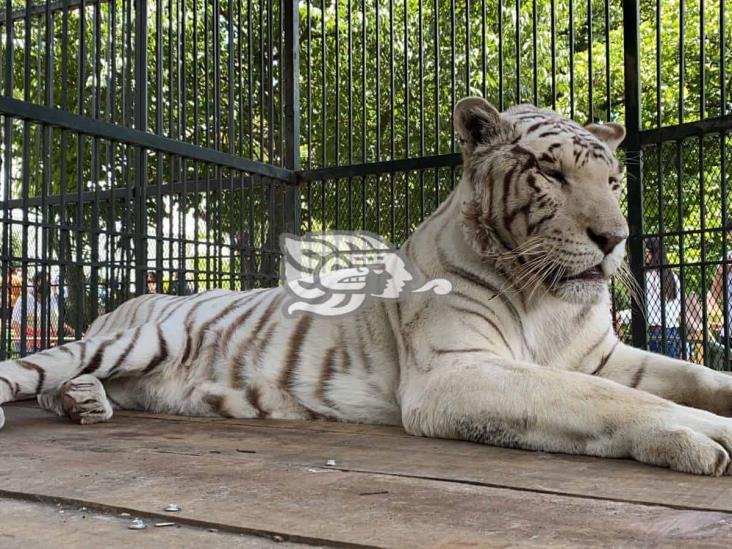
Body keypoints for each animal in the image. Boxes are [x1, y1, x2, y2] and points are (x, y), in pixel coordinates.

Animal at [1, 98, 732, 476]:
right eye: (551, 174)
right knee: (30, 373)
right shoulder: (457, 371)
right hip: (124, 341)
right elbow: (607, 399)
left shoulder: (605, 355)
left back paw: (87, 404)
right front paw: (705, 435)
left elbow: (687, 377)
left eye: (612, 180)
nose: (614, 238)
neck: (548, 300)